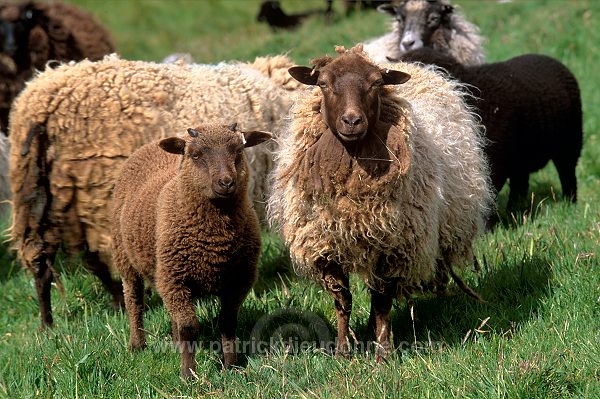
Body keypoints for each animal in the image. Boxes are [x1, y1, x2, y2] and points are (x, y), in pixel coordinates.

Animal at [7, 53, 292, 328]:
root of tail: (46, 102)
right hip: (95, 194)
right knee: (101, 259)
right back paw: (119, 301)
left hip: (37, 194)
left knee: (43, 260)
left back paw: (48, 324)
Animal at [110, 122, 272, 378]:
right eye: (195, 155)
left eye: (238, 151)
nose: (226, 183)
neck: (215, 237)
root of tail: (150, 145)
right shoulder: (175, 278)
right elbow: (189, 328)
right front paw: (188, 375)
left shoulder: (238, 280)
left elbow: (227, 323)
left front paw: (230, 366)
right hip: (126, 259)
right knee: (134, 302)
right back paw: (137, 345)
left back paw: (174, 344)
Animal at [268, 46, 492, 360]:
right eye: (323, 83)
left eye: (375, 83)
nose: (352, 121)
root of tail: (416, 67)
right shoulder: (326, 246)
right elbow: (343, 300)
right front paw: (343, 351)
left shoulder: (392, 245)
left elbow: (382, 301)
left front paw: (383, 353)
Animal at [400, 48, 584, 211]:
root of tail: (551, 59)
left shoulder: (495, 162)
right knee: (520, 183)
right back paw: (515, 211)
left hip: (571, 142)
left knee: (567, 173)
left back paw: (570, 204)